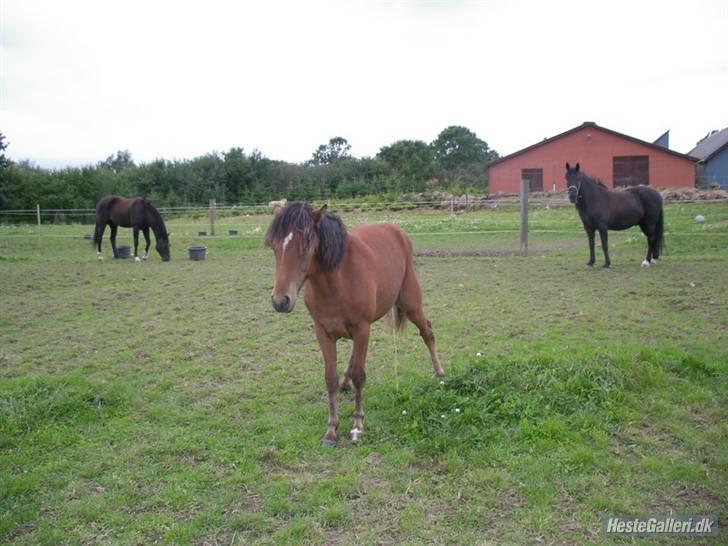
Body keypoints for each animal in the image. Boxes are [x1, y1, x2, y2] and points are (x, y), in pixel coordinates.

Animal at [264, 202, 440, 444]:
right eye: (274, 246)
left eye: (306, 243)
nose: (281, 301)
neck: (337, 282)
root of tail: (397, 230)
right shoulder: (323, 332)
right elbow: (330, 377)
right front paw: (331, 429)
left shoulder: (361, 327)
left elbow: (359, 375)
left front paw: (357, 425)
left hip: (410, 304)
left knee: (427, 331)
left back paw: (440, 374)